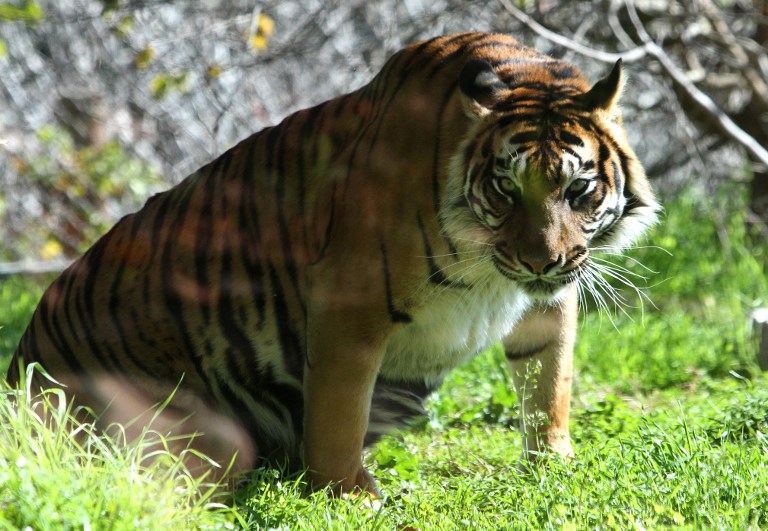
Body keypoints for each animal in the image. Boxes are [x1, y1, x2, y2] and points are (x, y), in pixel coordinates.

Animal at [7, 32, 658, 496]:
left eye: (577, 189)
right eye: (505, 189)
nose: (540, 260)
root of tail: (18, 376)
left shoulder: (550, 302)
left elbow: (549, 383)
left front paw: (554, 465)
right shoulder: (351, 306)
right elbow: (340, 415)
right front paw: (349, 496)